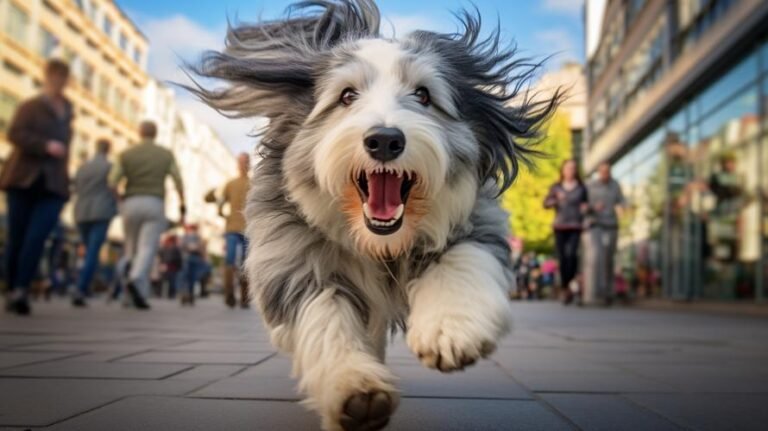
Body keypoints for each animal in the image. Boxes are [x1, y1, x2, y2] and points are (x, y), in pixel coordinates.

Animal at [188, 1, 560, 430]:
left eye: (423, 95)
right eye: (347, 95)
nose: (385, 139)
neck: (382, 245)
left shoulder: (475, 220)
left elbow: (461, 261)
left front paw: (450, 331)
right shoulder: (295, 261)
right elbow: (324, 318)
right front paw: (354, 388)